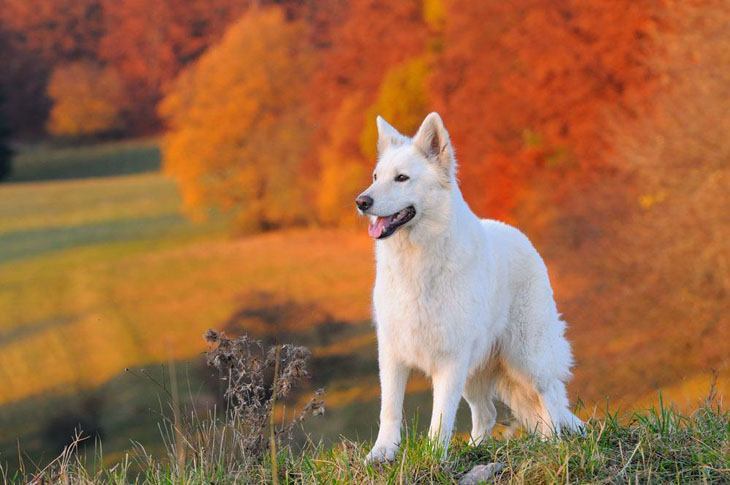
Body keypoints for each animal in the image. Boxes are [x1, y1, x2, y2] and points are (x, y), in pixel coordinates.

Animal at [356, 110, 584, 462]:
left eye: (402, 178)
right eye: (376, 176)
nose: (361, 201)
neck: (418, 261)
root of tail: (520, 235)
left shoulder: (450, 360)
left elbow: (440, 419)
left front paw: (433, 458)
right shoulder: (393, 353)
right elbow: (390, 410)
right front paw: (382, 454)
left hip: (527, 357)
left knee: (551, 400)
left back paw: (552, 443)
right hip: (474, 373)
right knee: (487, 414)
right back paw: (477, 448)